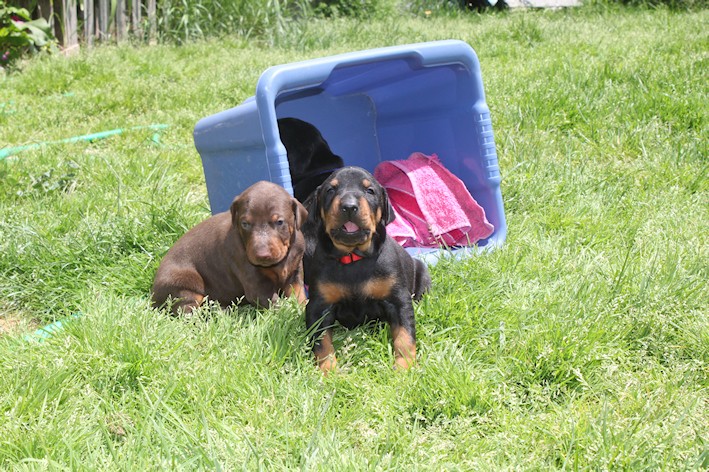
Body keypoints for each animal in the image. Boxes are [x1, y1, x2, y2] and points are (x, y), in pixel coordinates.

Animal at [152, 181, 306, 314]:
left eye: (279, 222)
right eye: (245, 224)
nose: (262, 256)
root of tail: (152, 298)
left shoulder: (295, 274)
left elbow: (299, 295)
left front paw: (301, 309)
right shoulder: (256, 284)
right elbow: (277, 305)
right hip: (185, 288)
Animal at [300, 166, 428, 372]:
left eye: (370, 191)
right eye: (330, 190)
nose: (349, 206)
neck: (353, 256)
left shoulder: (398, 300)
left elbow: (404, 335)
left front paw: (404, 366)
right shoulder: (319, 306)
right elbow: (322, 342)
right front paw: (329, 370)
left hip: (423, 275)